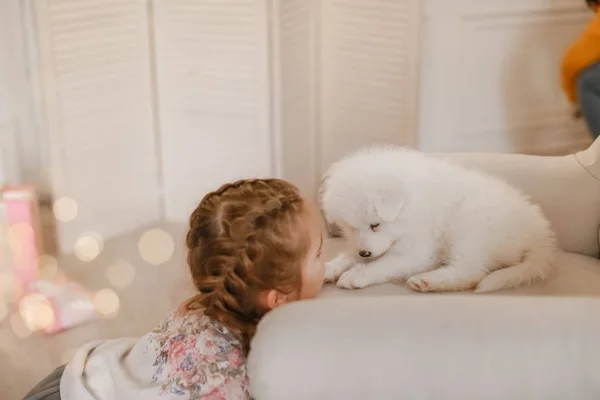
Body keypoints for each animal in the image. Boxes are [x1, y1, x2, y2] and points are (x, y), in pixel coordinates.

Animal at [322, 145, 556, 292]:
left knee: (471, 271)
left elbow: (385, 264)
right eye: (350, 227)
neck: (410, 209)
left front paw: (357, 275)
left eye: (375, 225)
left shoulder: (419, 250)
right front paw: (329, 267)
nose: (364, 253)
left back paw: (427, 281)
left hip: (469, 227)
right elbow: (349, 255)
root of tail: (538, 234)